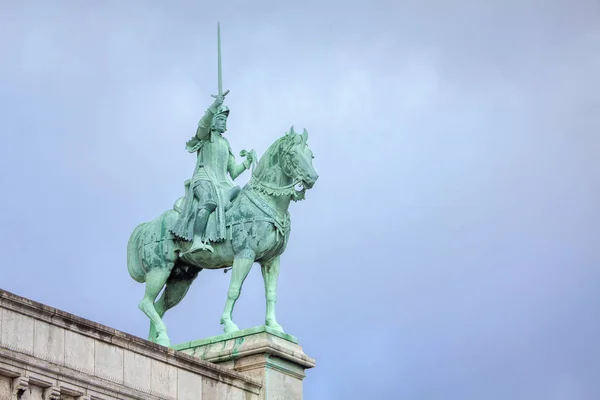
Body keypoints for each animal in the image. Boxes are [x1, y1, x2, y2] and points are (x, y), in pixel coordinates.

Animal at [126, 127, 318, 346]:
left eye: (311, 155)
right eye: (293, 154)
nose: (312, 178)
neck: (267, 201)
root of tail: (148, 226)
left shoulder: (271, 260)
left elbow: (271, 294)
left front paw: (274, 326)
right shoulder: (245, 255)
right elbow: (234, 289)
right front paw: (229, 325)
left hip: (180, 279)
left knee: (157, 307)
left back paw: (157, 342)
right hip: (159, 269)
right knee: (145, 303)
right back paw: (162, 337)